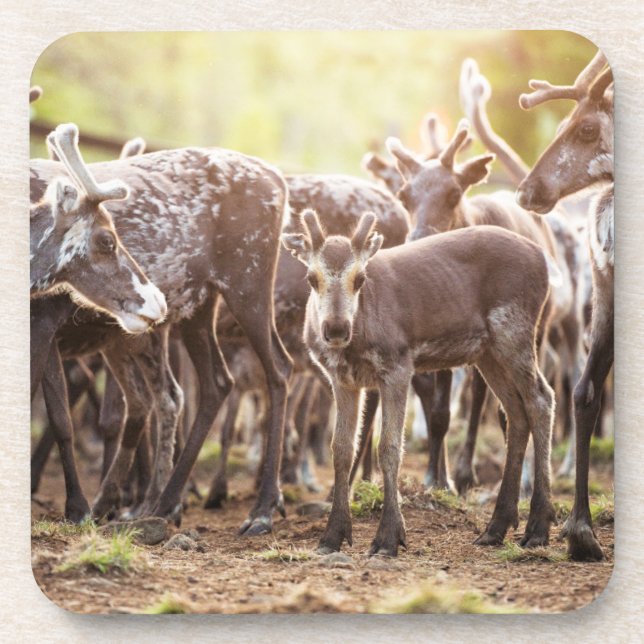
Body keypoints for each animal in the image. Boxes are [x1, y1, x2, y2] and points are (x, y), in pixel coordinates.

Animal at [31, 134, 293, 534]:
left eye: (109, 240)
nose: (153, 297)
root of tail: (279, 180)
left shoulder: (44, 321)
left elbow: (59, 417)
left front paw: (76, 508)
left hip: (248, 285)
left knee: (277, 370)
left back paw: (261, 508)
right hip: (198, 306)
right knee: (214, 382)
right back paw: (164, 503)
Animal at [283, 210, 558, 556]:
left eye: (359, 278)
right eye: (311, 278)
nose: (335, 329)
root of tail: (543, 259)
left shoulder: (398, 366)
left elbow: (389, 446)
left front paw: (389, 537)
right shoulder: (342, 380)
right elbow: (342, 448)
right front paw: (333, 535)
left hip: (515, 329)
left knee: (541, 399)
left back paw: (538, 527)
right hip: (488, 352)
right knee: (516, 411)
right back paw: (496, 527)